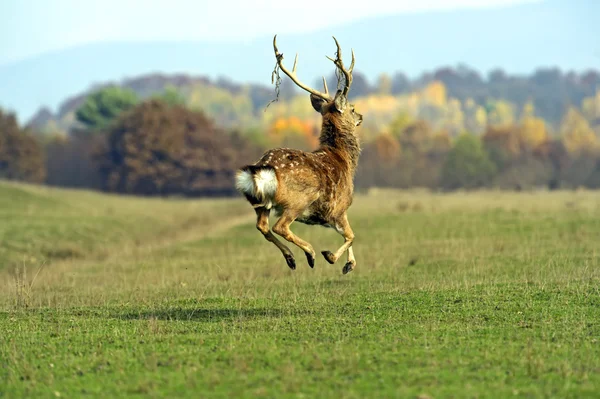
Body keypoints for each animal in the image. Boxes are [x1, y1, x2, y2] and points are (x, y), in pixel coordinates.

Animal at [236, 35, 364, 276]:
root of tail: (263, 169)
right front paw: (334, 258)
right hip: (298, 200)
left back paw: (291, 258)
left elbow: (350, 235)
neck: (344, 160)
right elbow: (352, 235)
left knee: (262, 226)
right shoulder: (338, 208)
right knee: (280, 226)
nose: (361, 116)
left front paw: (348, 265)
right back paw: (311, 253)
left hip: (261, 203)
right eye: (352, 109)